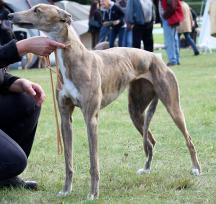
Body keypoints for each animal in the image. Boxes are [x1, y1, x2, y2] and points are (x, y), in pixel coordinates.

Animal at [9, 4, 200, 199]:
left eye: (37, 10)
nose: (10, 15)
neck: (73, 59)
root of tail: (157, 58)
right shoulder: (65, 118)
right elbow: (68, 161)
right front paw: (66, 190)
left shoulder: (91, 118)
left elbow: (94, 162)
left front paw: (93, 193)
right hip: (136, 111)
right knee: (151, 141)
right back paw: (146, 169)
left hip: (173, 106)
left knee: (189, 139)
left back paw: (195, 169)